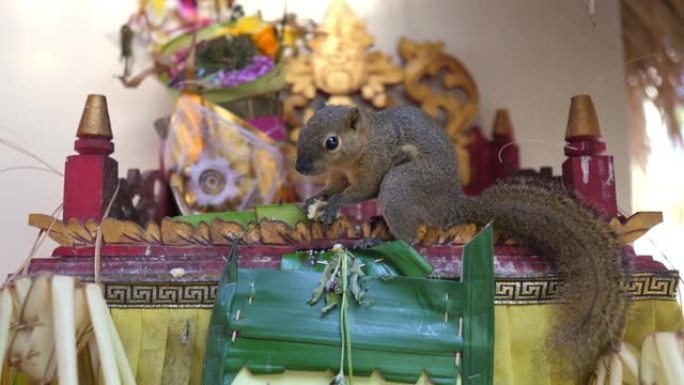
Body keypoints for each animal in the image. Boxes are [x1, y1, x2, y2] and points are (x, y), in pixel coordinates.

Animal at [296, 103, 632, 380]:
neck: (365, 140)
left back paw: (375, 241)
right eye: (304, 128)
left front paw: (335, 204)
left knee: (410, 235)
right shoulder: (341, 174)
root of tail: (449, 207)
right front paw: (315, 199)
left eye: (331, 142)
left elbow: (360, 191)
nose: (300, 168)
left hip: (401, 185)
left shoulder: (374, 164)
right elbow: (334, 186)